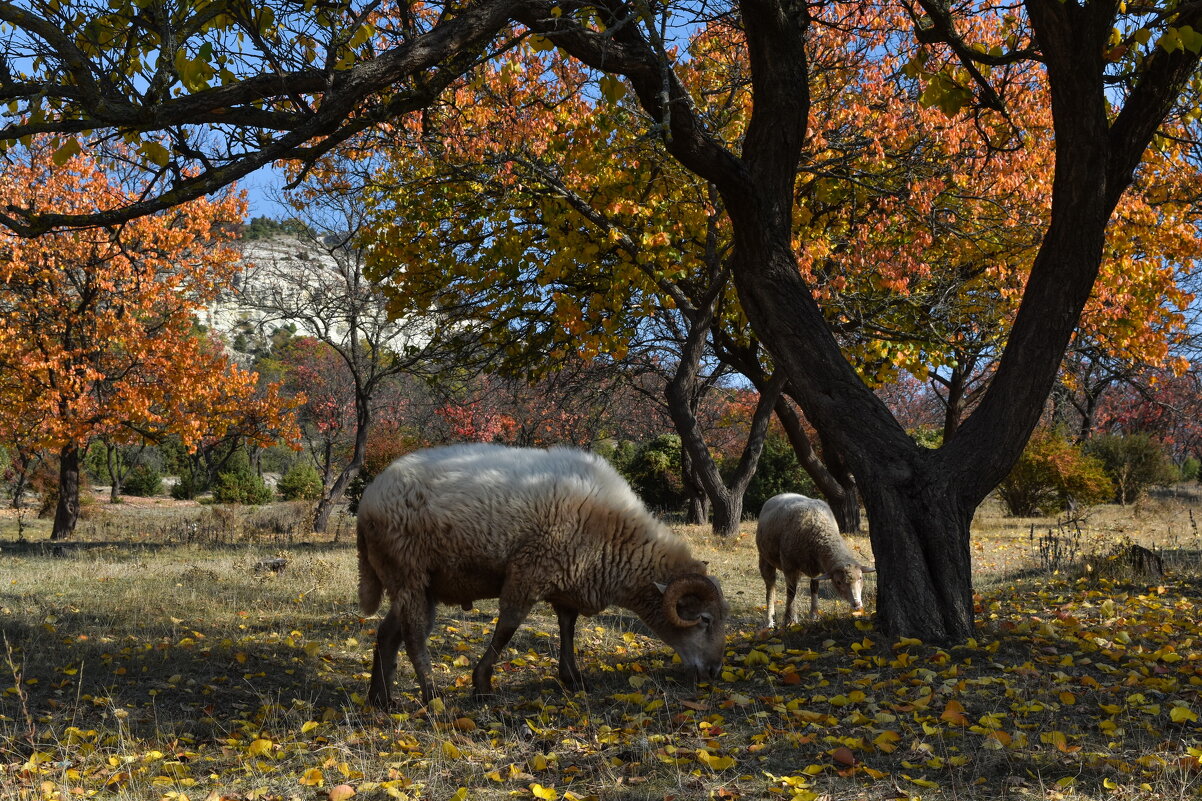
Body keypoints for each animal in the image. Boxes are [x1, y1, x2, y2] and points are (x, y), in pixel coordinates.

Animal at [355, 440, 726, 702]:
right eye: (704, 620)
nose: (714, 672)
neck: (615, 536)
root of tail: (368, 499)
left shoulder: (568, 577)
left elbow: (567, 628)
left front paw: (573, 678)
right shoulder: (529, 571)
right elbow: (506, 628)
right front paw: (482, 683)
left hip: (417, 582)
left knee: (387, 634)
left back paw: (380, 699)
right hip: (408, 572)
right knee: (414, 634)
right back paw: (432, 696)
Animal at [754, 493, 879, 625]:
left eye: (860, 578)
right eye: (838, 582)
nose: (857, 604)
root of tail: (781, 494)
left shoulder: (816, 568)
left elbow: (814, 587)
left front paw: (814, 614)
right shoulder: (789, 566)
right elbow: (791, 592)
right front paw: (790, 619)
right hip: (765, 557)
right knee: (770, 586)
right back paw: (770, 620)